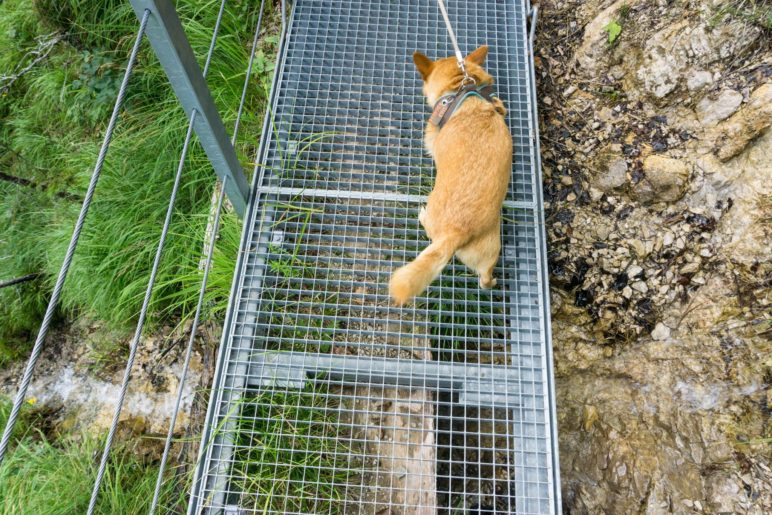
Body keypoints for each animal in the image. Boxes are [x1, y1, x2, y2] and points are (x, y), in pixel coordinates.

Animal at [390, 45, 510, 306]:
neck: (462, 90)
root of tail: (456, 231)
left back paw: (423, 215)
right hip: (489, 252)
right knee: (485, 280)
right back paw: (492, 282)